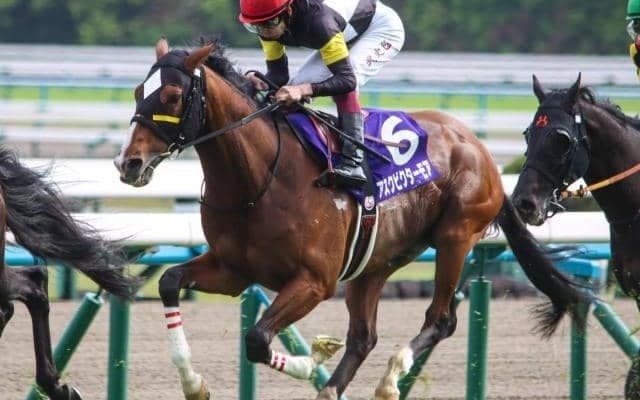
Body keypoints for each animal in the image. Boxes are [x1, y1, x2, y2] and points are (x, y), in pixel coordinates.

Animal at [114, 38, 591, 400]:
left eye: (172, 96)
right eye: (137, 92)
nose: (128, 163)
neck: (260, 178)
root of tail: (481, 150)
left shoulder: (314, 281)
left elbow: (257, 340)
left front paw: (316, 356)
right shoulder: (233, 269)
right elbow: (170, 282)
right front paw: (194, 384)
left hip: (456, 236)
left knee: (440, 319)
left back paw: (390, 380)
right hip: (375, 262)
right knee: (364, 336)